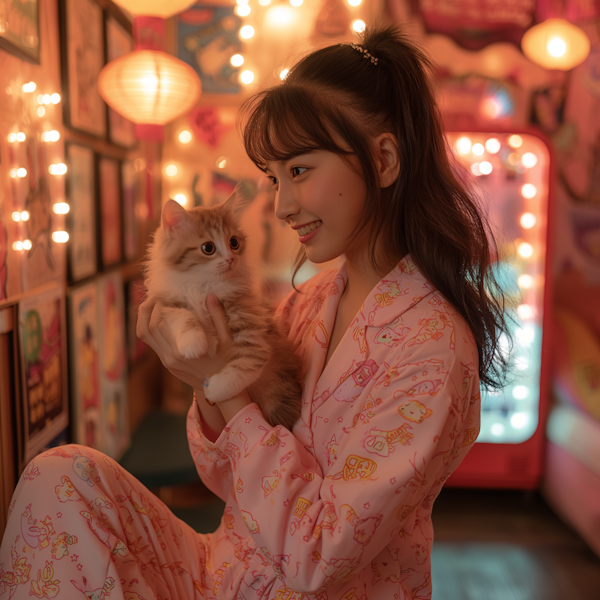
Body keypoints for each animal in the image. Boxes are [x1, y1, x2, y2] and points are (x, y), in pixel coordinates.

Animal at [143, 190, 302, 428]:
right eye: (208, 248)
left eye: (234, 242)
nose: (231, 259)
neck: (204, 283)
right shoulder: (165, 303)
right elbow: (183, 315)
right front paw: (194, 342)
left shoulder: (251, 322)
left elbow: (251, 362)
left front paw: (215, 389)